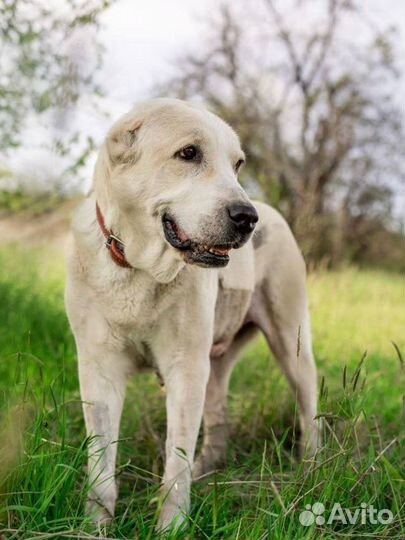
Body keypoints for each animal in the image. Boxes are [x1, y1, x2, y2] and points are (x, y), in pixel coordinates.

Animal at [65, 99, 318, 528]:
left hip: (291, 344)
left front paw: (171, 527)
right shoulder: (99, 368)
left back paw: (313, 466)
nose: (247, 218)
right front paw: (94, 523)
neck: (138, 267)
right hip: (215, 365)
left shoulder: (186, 368)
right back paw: (208, 468)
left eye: (237, 164)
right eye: (188, 153)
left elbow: (175, 461)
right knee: (217, 419)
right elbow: (101, 459)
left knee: (308, 403)